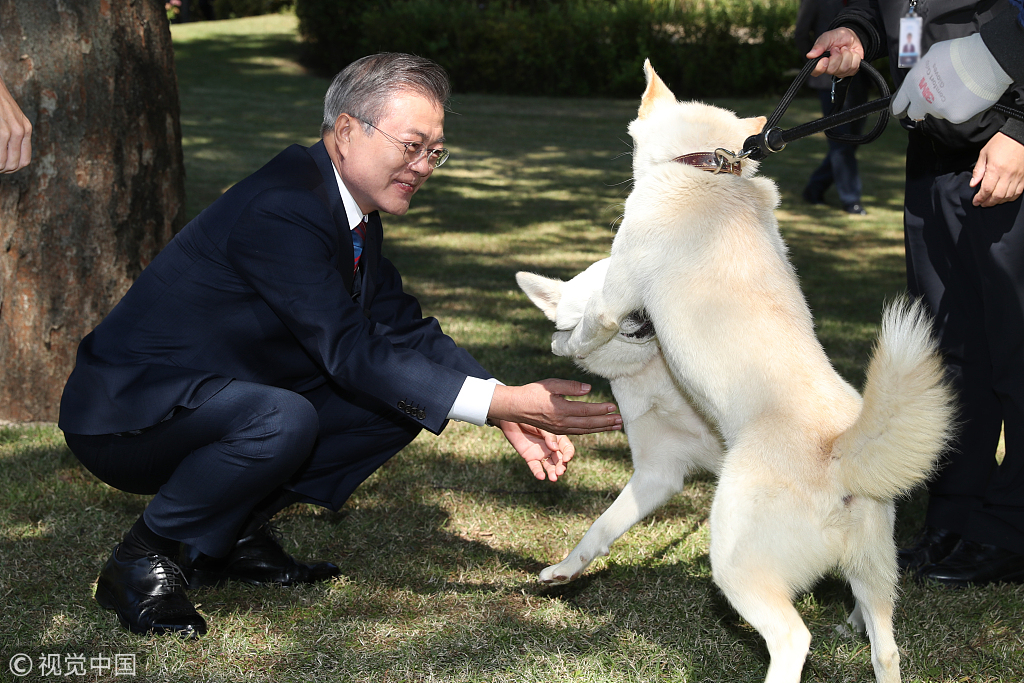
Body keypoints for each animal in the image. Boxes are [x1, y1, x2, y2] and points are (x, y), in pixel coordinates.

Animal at [520, 58, 958, 683]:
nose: (641, 324)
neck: (708, 170)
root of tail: (839, 451)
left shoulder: (616, 294)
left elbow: (592, 321)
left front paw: (568, 341)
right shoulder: (656, 474)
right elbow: (601, 527)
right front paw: (562, 571)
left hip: (734, 560)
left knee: (793, 638)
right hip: (875, 572)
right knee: (886, 644)